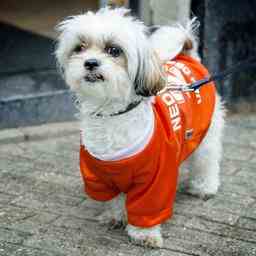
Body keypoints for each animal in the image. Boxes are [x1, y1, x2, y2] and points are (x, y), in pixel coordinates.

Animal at [55, 7, 225, 248]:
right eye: (79, 47)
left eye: (114, 50)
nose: (90, 62)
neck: (112, 114)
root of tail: (188, 55)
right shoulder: (101, 176)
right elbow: (115, 200)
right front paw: (115, 217)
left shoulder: (156, 179)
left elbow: (147, 207)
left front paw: (144, 234)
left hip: (205, 136)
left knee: (207, 162)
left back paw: (204, 188)